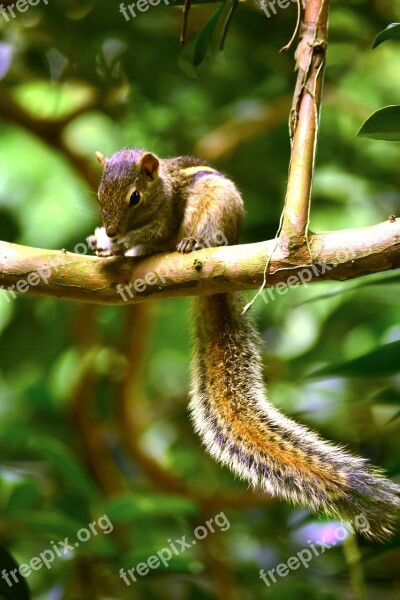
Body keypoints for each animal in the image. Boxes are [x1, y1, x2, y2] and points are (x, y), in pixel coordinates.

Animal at [88, 148, 400, 540]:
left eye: (134, 197)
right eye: (100, 196)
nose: (112, 229)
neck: (161, 188)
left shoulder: (164, 217)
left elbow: (152, 231)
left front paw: (115, 243)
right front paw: (104, 242)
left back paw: (192, 243)